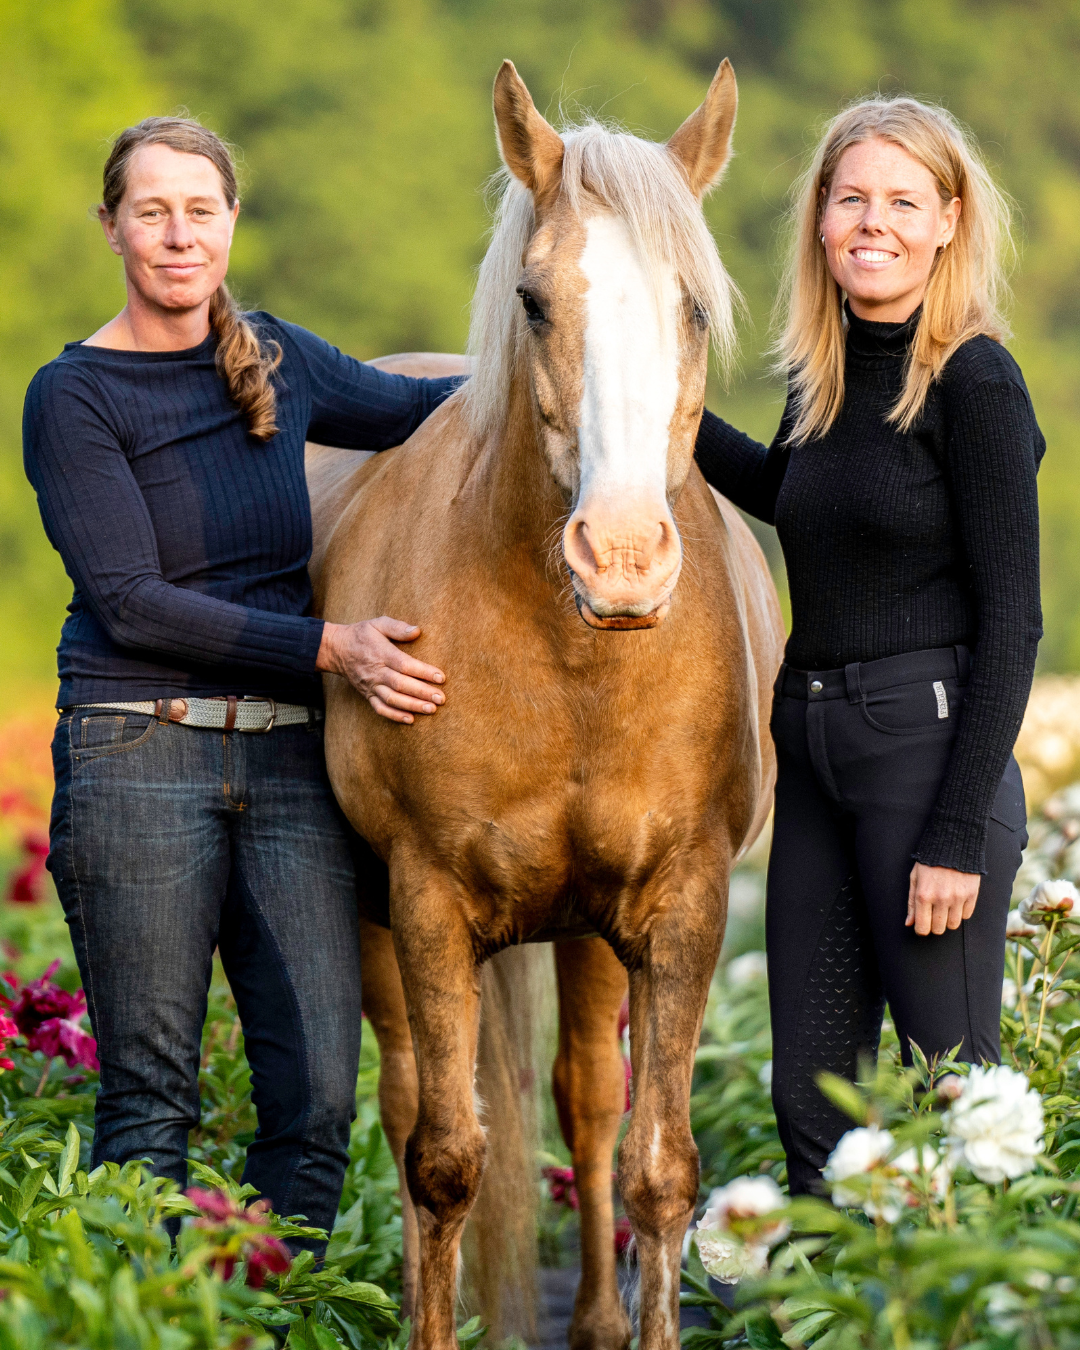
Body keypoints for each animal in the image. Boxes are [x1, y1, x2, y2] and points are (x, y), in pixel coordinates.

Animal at [306, 57, 784, 1350]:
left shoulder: (681, 908)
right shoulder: (424, 901)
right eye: (532, 301)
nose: (622, 560)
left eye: (694, 308)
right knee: (413, 1103)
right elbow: (443, 1162)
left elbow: (658, 1167)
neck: (575, 665)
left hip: (590, 931)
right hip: (379, 921)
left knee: (587, 1102)